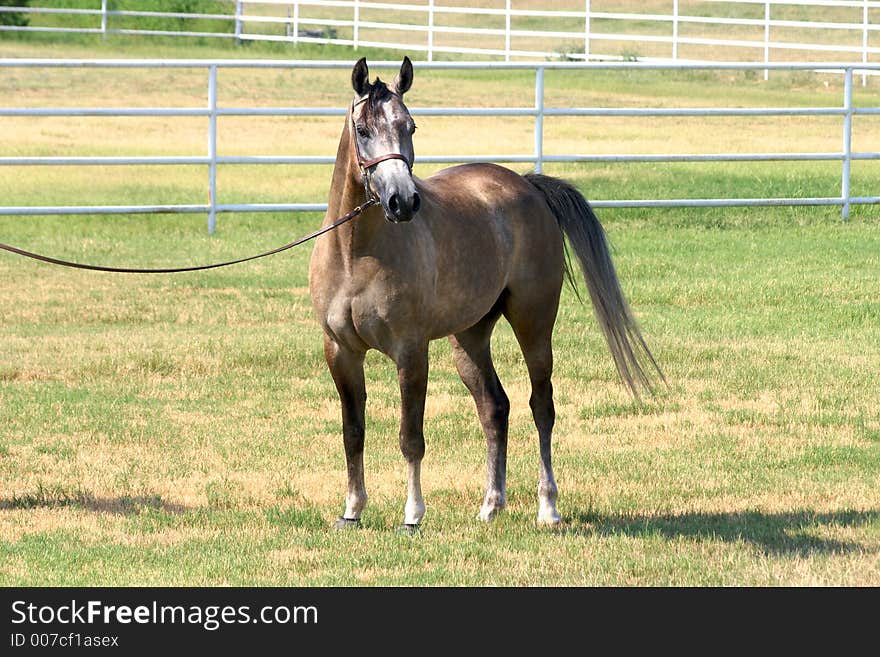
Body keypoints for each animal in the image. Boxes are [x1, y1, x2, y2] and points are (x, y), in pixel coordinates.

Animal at [310, 56, 660, 528]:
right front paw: (352, 510)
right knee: (495, 408)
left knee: (541, 405)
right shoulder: (341, 351)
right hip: (470, 337)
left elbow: (410, 436)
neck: (355, 255)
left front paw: (413, 515)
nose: (403, 201)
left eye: (410, 126)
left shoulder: (411, 352)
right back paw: (491, 504)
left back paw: (548, 507)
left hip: (534, 325)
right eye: (363, 130)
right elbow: (353, 432)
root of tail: (528, 186)